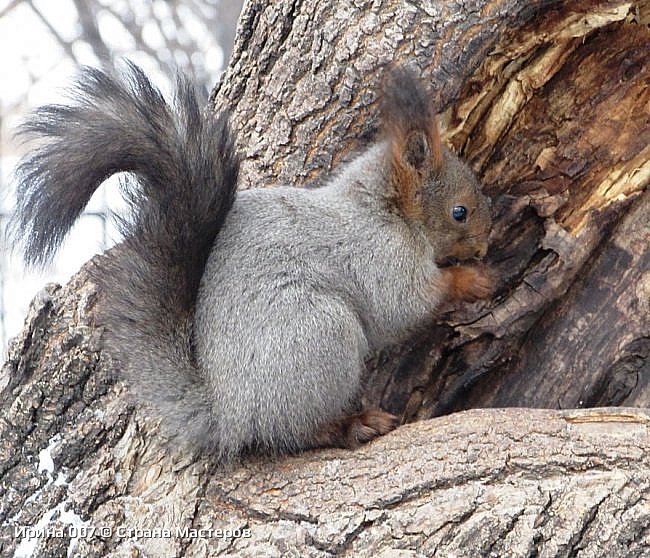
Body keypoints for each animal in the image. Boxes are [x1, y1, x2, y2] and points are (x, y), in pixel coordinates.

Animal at [11, 62, 492, 464]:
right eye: (460, 212)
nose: (485, 246)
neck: (381, 205)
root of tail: (229, 414)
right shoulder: (380, 256)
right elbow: (407, 305)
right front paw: (472, 280)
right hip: (320, 336)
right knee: (293, 433)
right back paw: (351, 424)